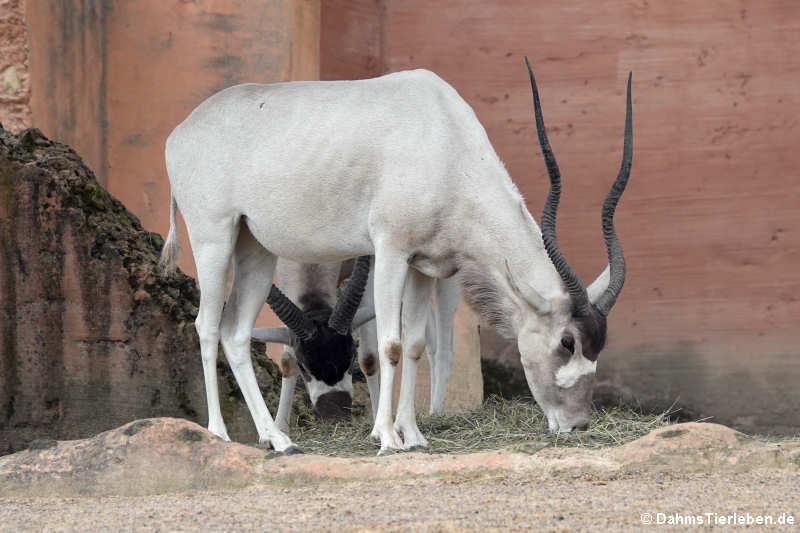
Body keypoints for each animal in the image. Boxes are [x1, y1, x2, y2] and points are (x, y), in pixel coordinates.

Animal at [162, 57, 636, 448]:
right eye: (566, 341)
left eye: (597, 345)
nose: (577, 423)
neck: (444, 139)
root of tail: (179, 134)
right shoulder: (389, 251)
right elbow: (389, 346)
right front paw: (388, 438)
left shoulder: (424, 265)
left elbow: (415, 345)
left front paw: (414, 436)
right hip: (213, 238)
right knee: (207, 327)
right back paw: (220, 434)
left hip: (256, 250)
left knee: (236, 333)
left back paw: (279, 441)